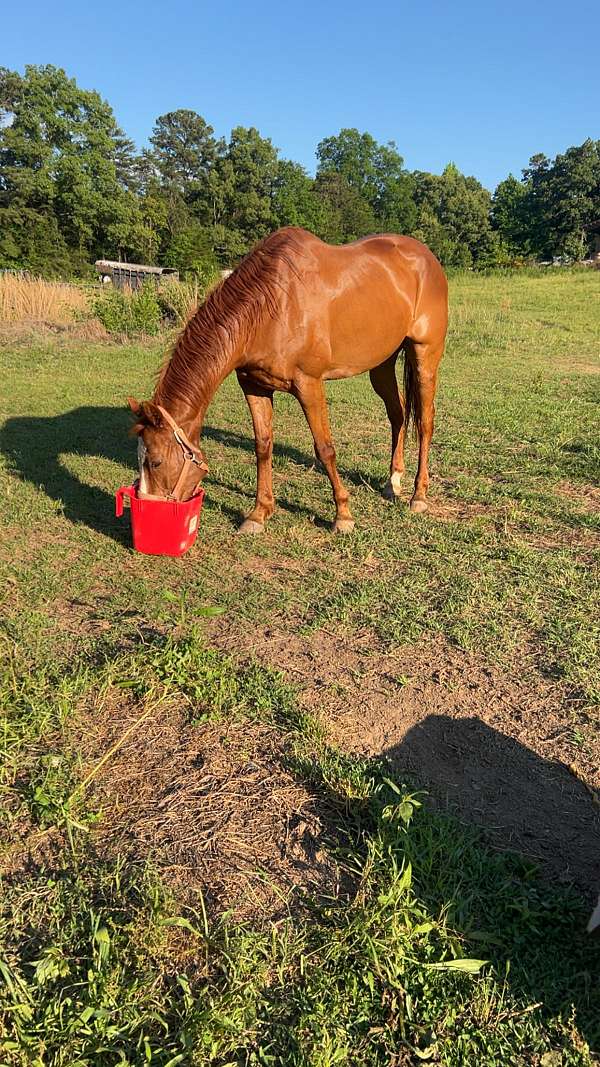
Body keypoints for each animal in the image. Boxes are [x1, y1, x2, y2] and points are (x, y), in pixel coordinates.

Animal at [128, 226, 448, 533]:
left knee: (425, 422)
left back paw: (418, 496)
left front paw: (343, 515)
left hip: (425, 356)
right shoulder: (254, 385)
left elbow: (325, 449)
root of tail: (427, 259)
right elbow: (263, 446)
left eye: (155, 461)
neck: (271, 306)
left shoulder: (309, 384)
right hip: (381, 365)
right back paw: (392, 482)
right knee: (398, 414)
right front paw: (259, 513)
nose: (148, 508)